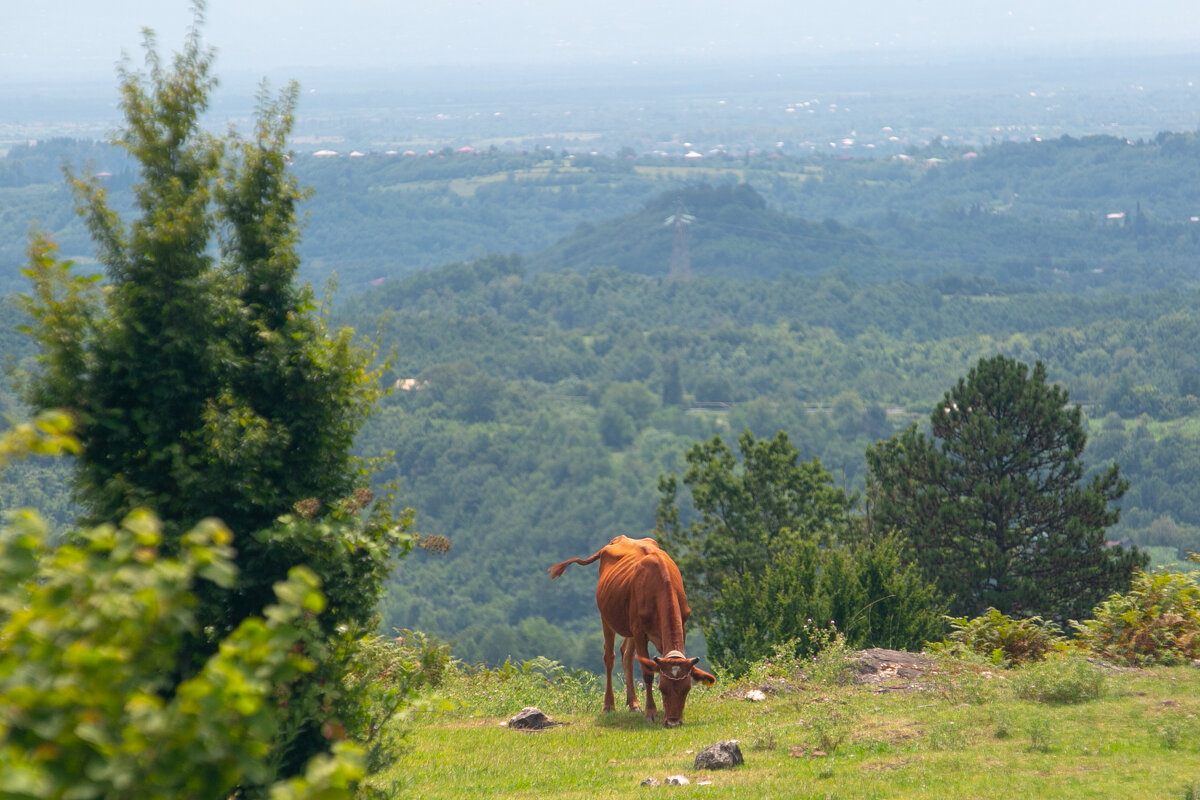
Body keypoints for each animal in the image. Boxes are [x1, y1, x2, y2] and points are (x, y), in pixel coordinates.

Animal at [549, 534, 715, 729]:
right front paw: (651, 713)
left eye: (687, 689)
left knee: (626, 654)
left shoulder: (681, 626)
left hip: (628, 624)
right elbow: (647, 673)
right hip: (607, 617)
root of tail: (618, 538)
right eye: (662, 689)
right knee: (609, 656)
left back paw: (633, 703)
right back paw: (609, 705)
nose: (673, 722)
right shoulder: (639, 631)